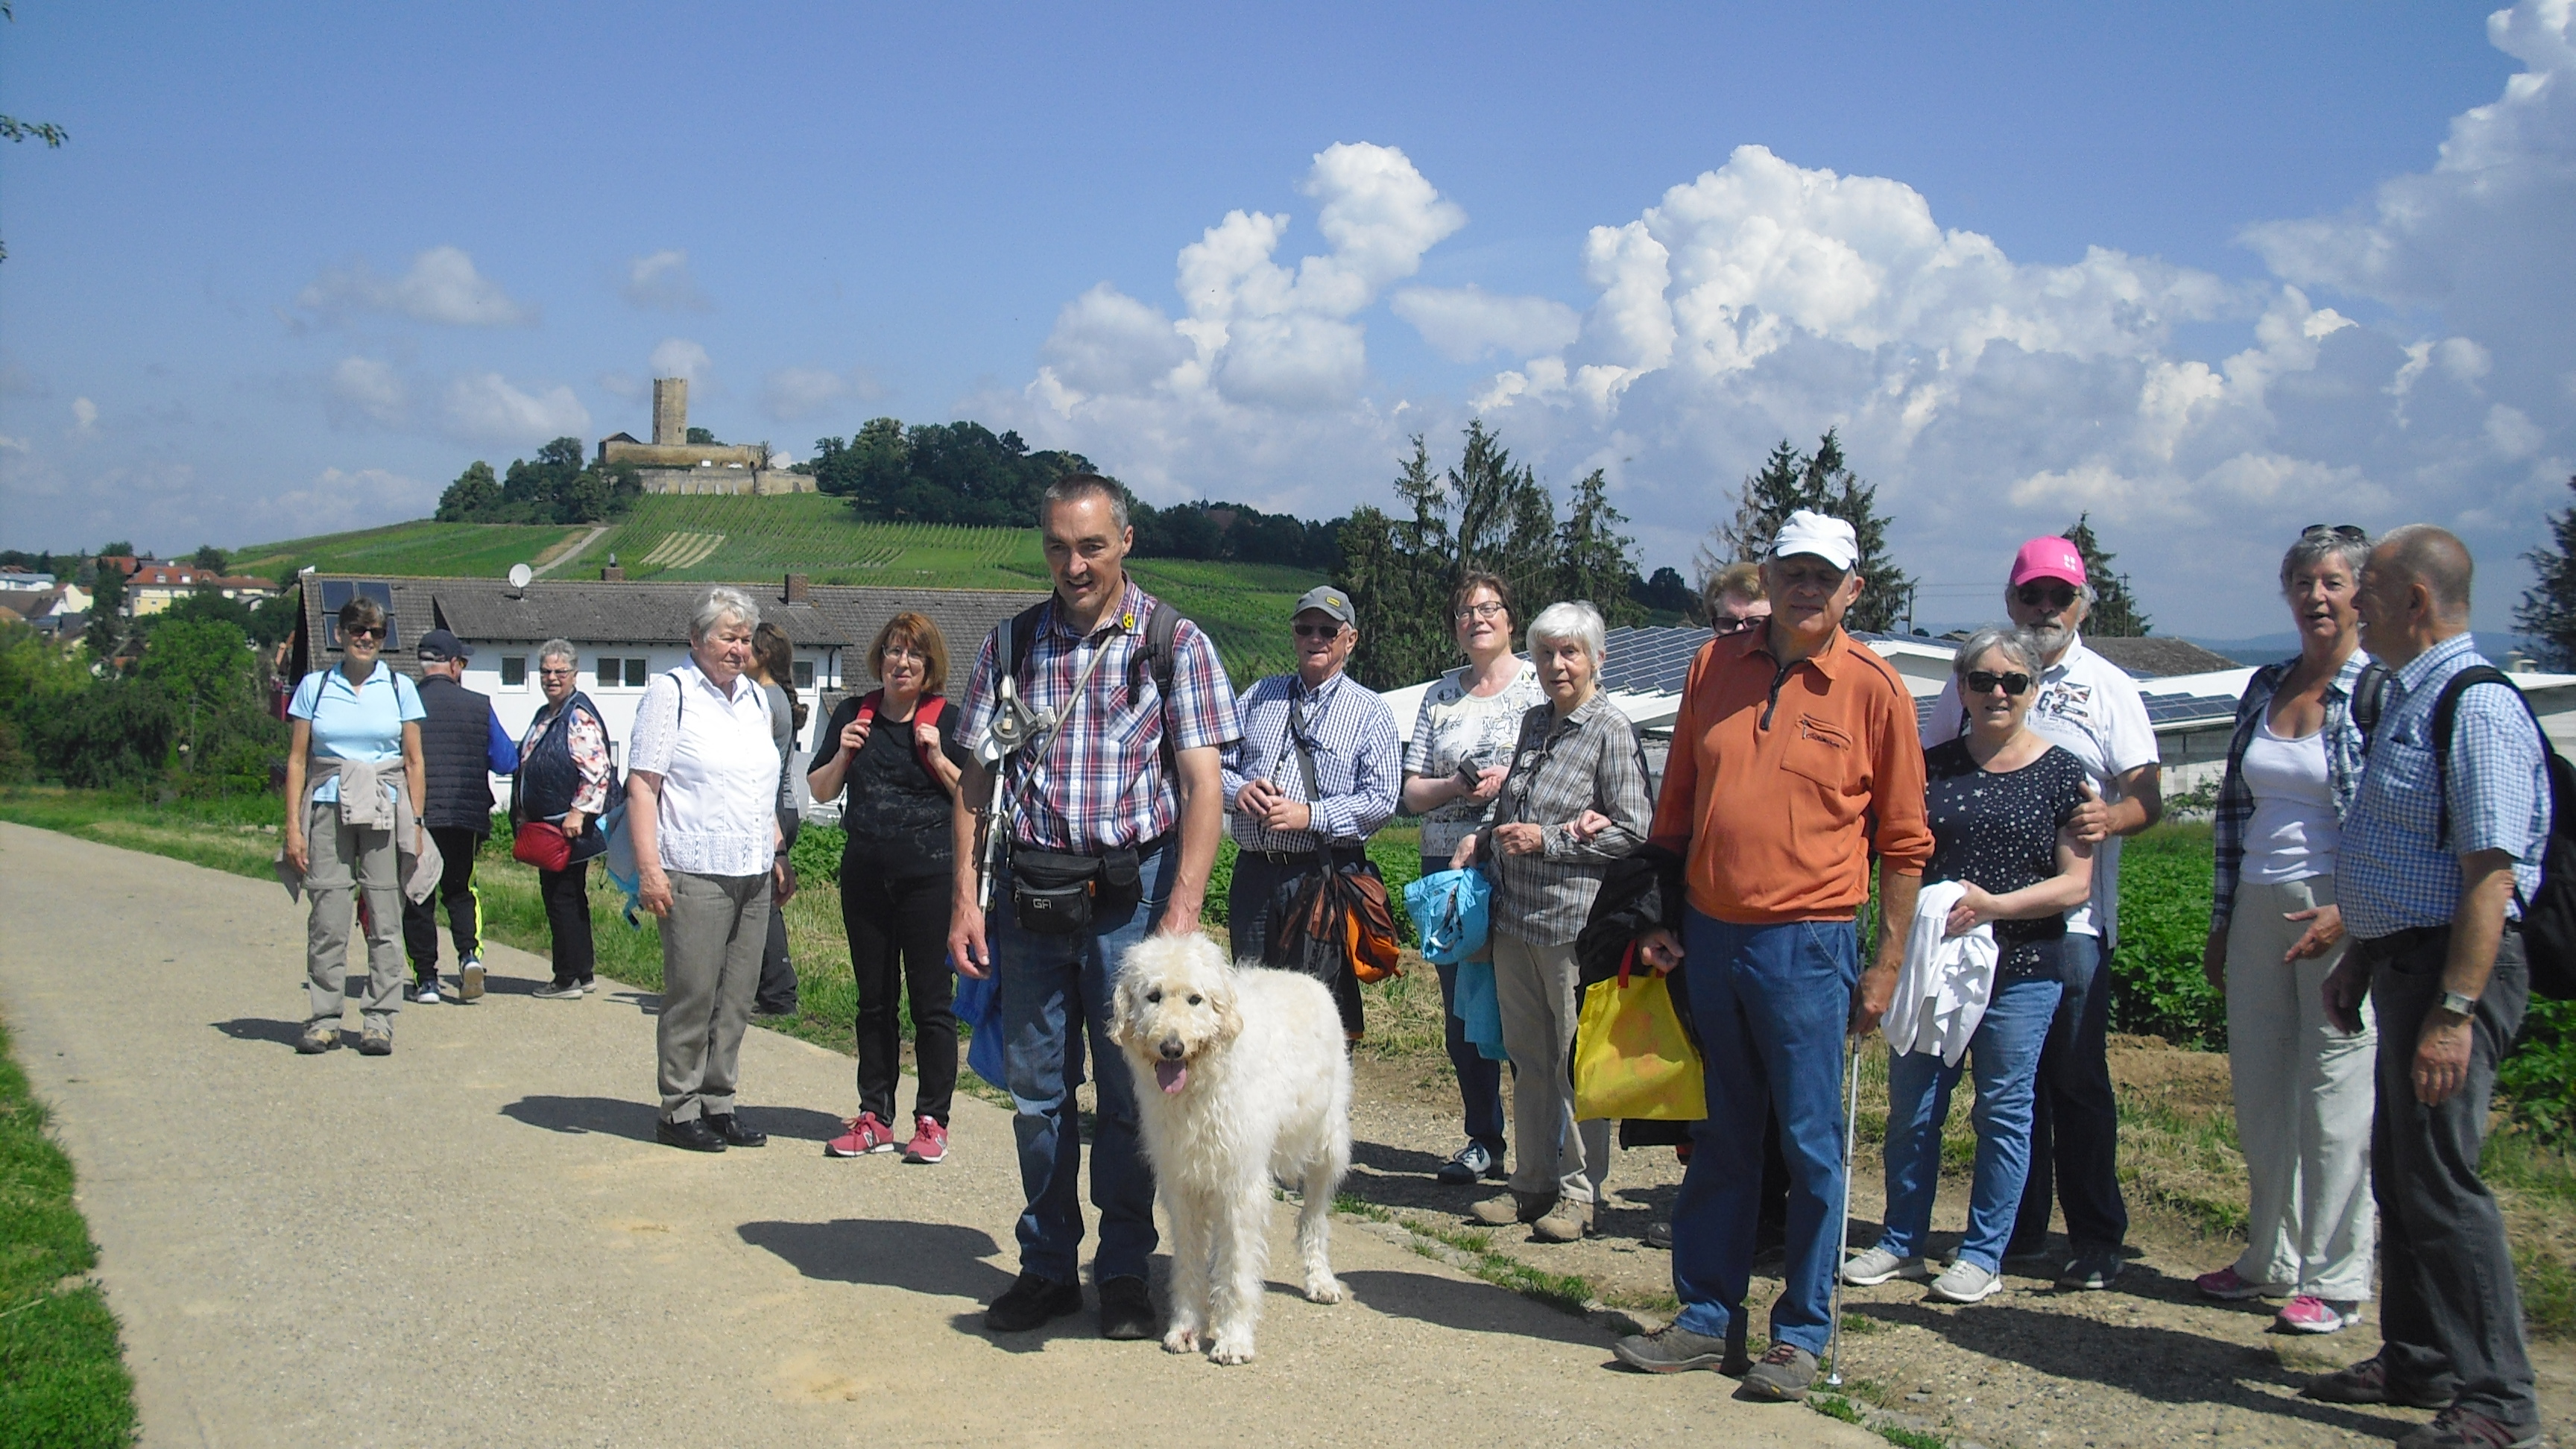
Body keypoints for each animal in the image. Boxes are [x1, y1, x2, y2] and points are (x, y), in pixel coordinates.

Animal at [1112, 928, 1360, 1361]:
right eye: (1153, 996)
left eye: (1195, 999)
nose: (1172, 1048)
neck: (1200, 1086)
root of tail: (1300, 975)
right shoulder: (1183, 1185)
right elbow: (1189, 1263)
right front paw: (1186, 1328)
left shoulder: (1240, 1186)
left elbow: (1239, 1269)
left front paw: (1234, 1339)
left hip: (1327, 1146)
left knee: (1313, 1218)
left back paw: (1320, 1280)